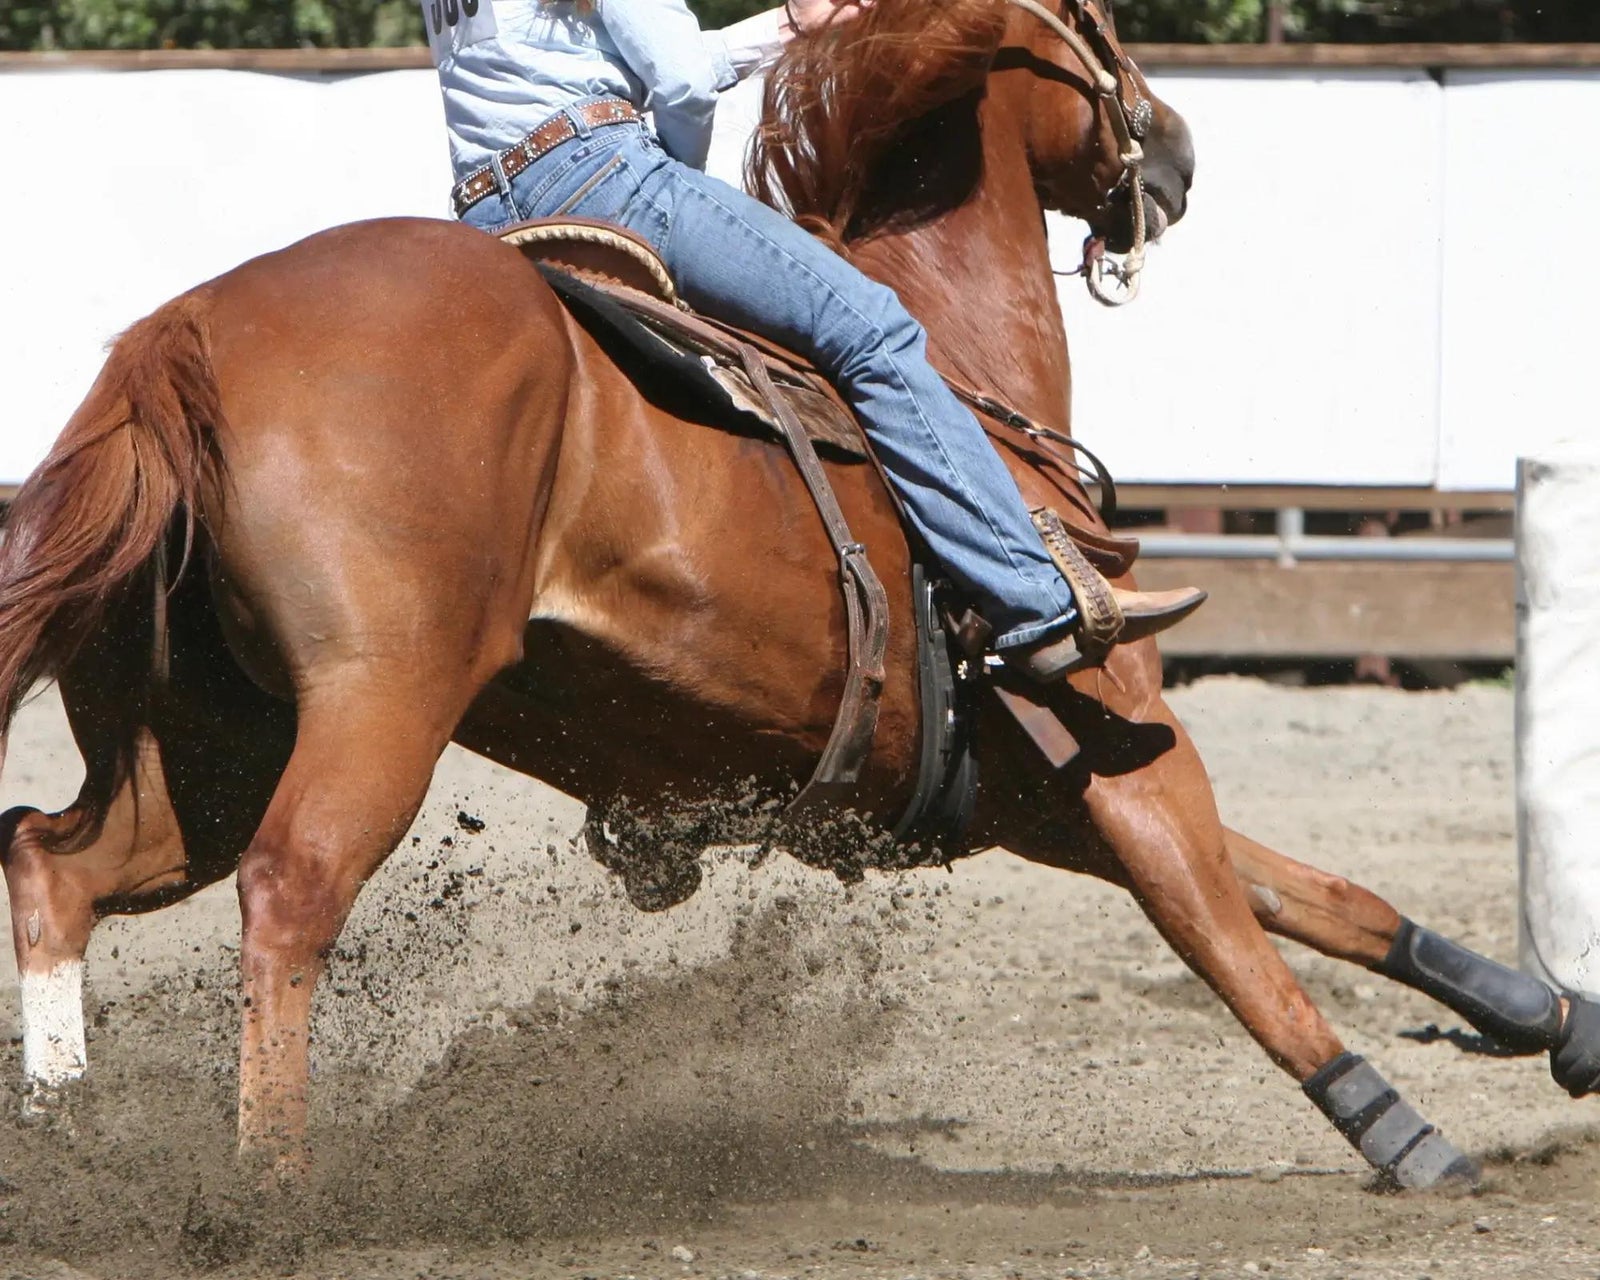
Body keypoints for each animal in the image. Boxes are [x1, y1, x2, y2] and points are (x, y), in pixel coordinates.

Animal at [1, 0, 1595, 1188]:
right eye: (1096, 24)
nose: (1182, 152)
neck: (959, 363)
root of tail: (183, 334)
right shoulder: (1122, 742)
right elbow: (1231, 938)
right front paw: (1411, 1140)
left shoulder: (1038, 788)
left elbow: (1323, 894)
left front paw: (1547, 1015)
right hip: (373, 703)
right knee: (288, 894)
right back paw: (273, 1193)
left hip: (201, 741)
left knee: (53, 862)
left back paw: (69, 1143)